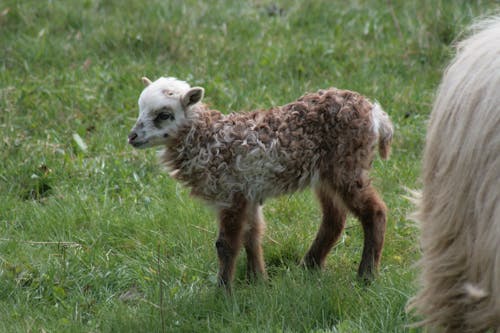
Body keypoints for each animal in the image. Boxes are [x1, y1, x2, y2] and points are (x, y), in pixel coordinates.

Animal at [129, 76, 394, 288]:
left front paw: (223, 292)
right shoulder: (248, 193)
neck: (208, 139)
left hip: (346, 166)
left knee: (375, 211)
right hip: (325, 174)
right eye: (140, 109)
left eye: (164, 115)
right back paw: (309, 266)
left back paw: (366, 276)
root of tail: (375, 113)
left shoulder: (231, 193)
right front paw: (257, 281)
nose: (132, 136)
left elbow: (226, 244)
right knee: (334, 218)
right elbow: (252, 235)